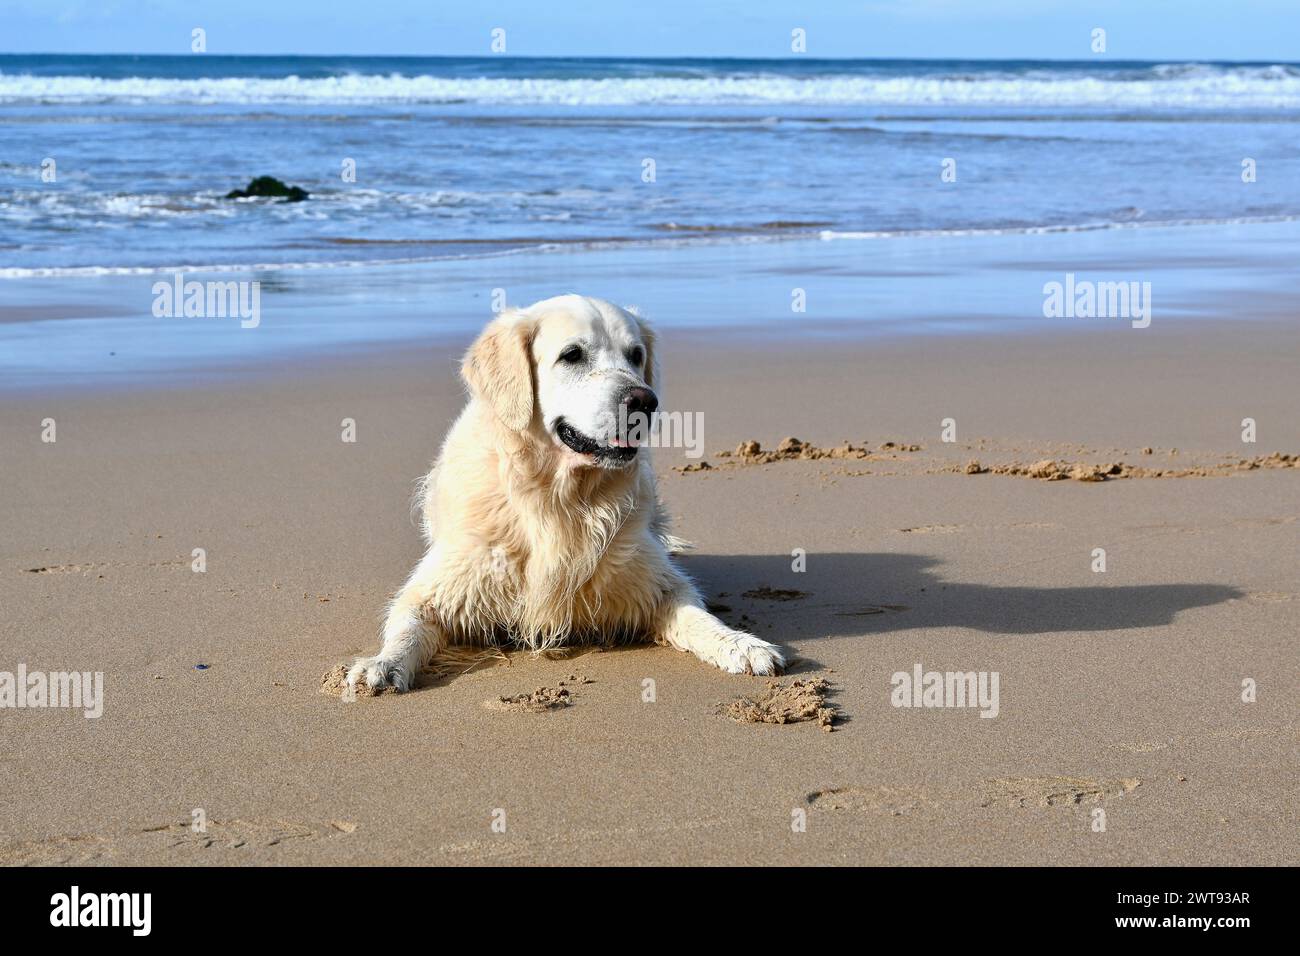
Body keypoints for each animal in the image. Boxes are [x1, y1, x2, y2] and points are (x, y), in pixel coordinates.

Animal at [345, 293, 785, 697]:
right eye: (572, 355)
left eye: (636, 355)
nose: (644, 401)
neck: (561, 499)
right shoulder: (440, 586)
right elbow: (407, 626)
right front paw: (381, 665)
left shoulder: (653, 580)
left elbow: (697, 614)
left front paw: (742, 644)